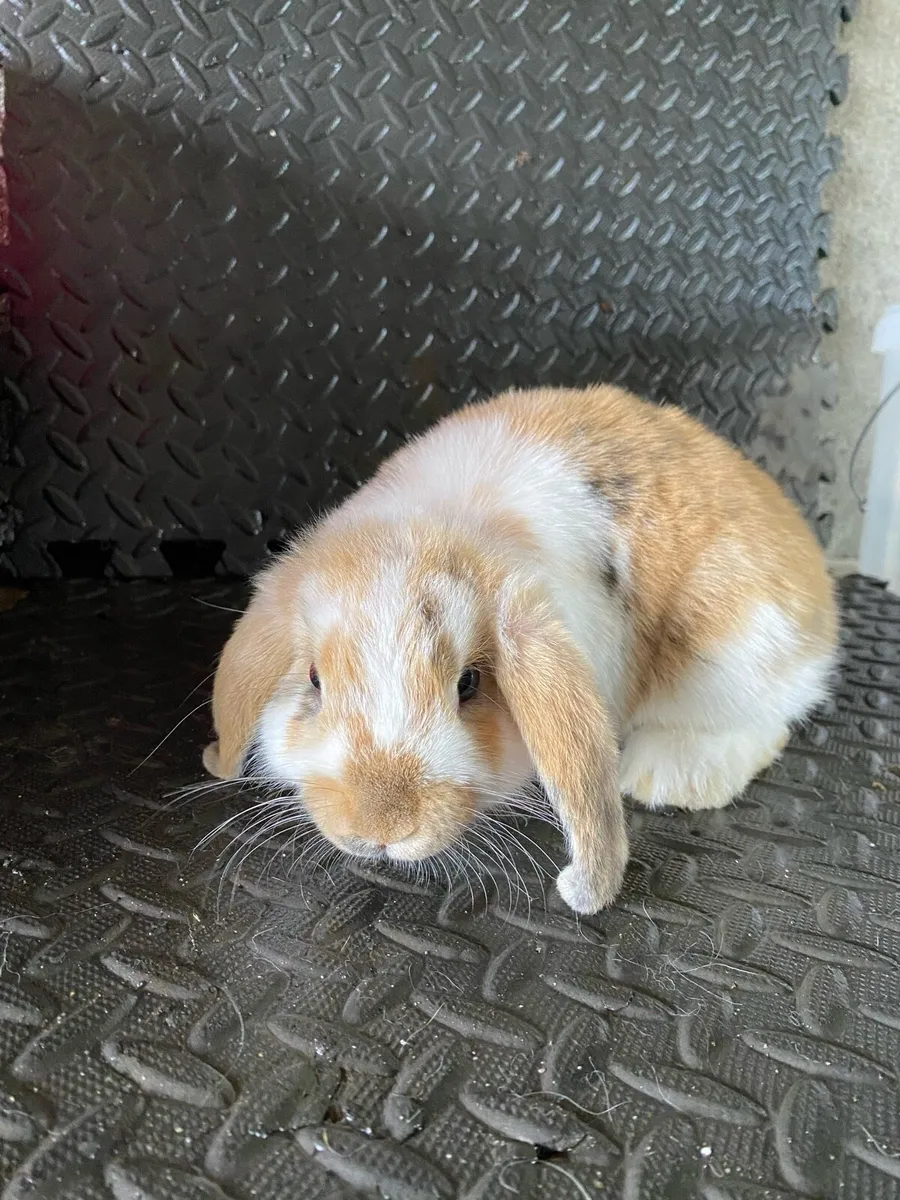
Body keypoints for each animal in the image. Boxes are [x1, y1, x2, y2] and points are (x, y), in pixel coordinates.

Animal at [203, 385, 838, 914]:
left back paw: (665, 777)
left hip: (734, 650)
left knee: (762, 726)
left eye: (468, 684)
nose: (381, 829)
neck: (443, 525)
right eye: (314, 679)